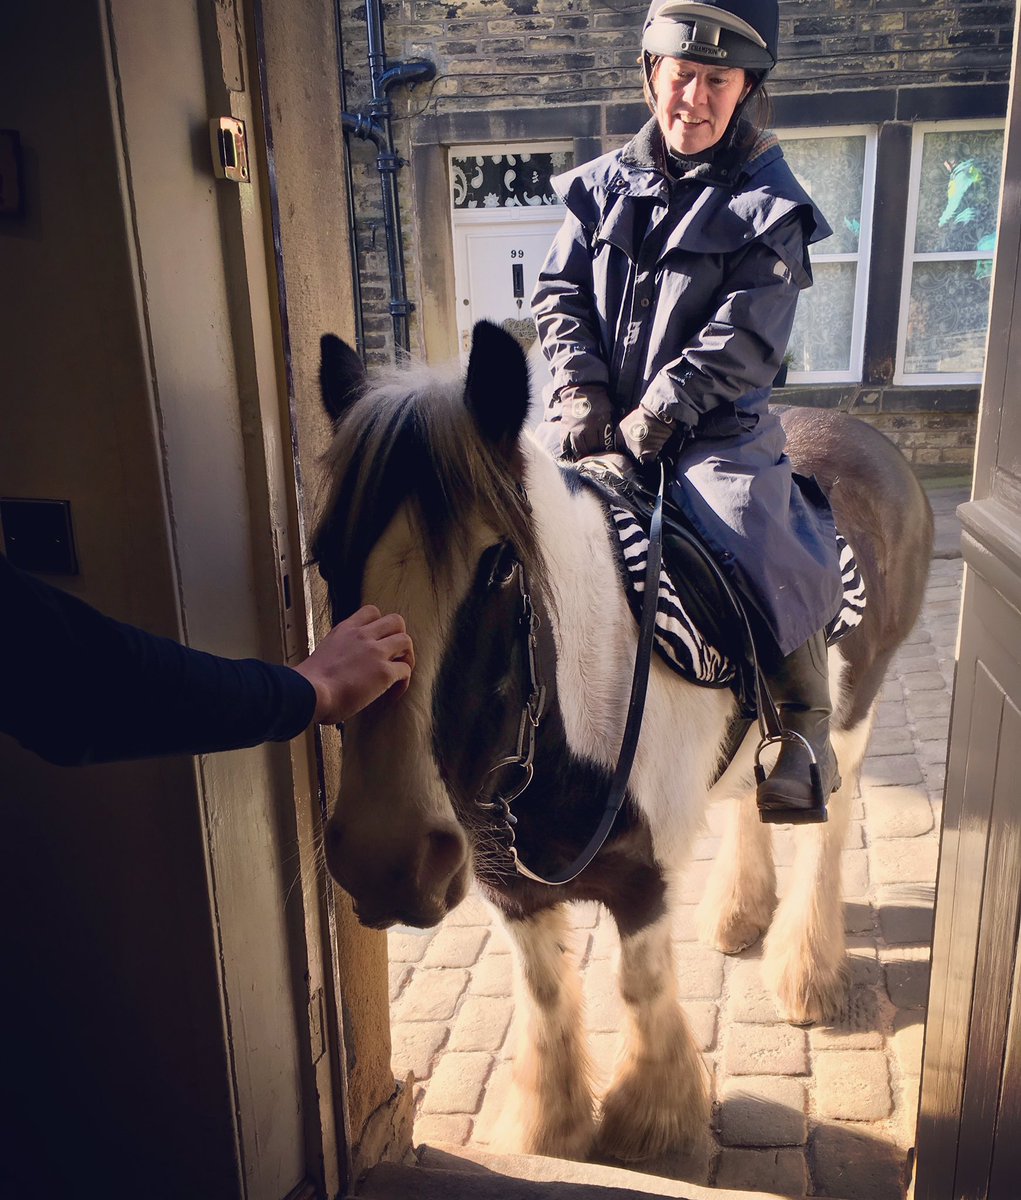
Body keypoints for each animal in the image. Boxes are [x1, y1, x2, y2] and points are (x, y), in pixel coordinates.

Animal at [311, 320, 934, 1163]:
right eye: (324, 559)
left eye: (500, 566)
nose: (385, 860)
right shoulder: (509, 885)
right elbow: (545, 993)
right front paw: (549, 1126)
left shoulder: (646, 877)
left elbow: (640, 987)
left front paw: (650, 1126)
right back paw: (738, 914)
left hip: (854, 713)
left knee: (825, 829)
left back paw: (806, 971)